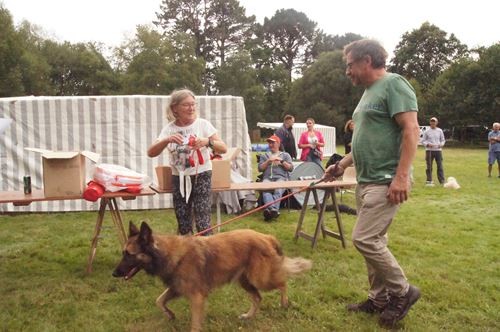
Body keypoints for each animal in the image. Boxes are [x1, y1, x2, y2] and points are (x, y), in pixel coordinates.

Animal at [112, 222, 312, 330]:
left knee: (283, 282)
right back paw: (248, 316)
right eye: (123, 253)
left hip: (260, 278)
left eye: (129, 254)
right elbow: (159, 300)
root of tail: (266, 236)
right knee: (258, 297)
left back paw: (284, 302)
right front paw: (169, 314)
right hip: (245, 281)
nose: (114, 273)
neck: (167, 253)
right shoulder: (176, 287)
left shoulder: (196, 297)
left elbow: (194, 324)